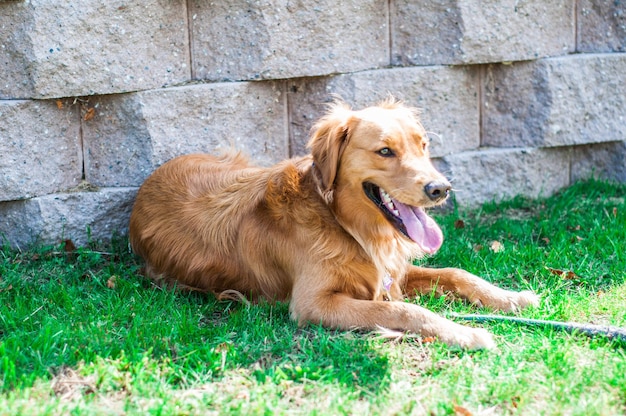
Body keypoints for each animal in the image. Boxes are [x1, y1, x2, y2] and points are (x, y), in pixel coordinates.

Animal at [128, 99, 536, 350]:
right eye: (384, 151)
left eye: (423, 146)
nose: (440, 189)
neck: (346, 224)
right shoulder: (313, 304)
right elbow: (403, 310)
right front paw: (465, 332)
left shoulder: (391, 273)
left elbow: (456, 272)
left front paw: (512, 297)